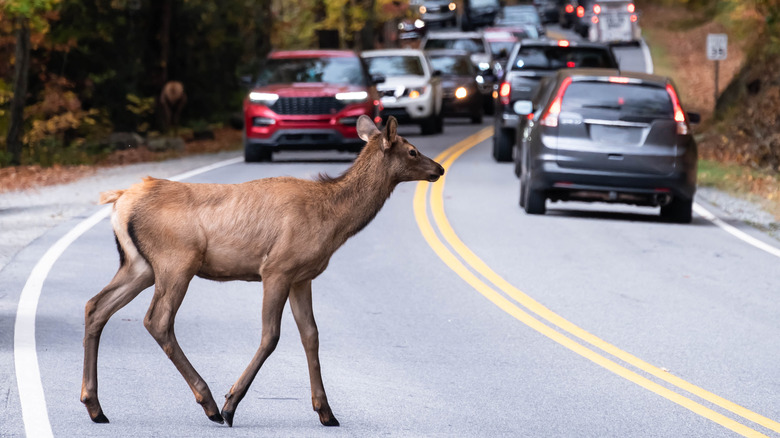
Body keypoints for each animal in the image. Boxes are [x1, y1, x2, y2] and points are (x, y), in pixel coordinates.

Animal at [80, 115, 444, 427]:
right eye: (412, 150)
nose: (439, 168)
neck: (332, 221)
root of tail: (120, 200)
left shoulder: (302, 276)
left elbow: (311, 335)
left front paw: (326, 411)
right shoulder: (277, 268)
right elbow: (271, 336)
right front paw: (232, 403)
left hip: (139, 265)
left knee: (96, 306)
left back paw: (95, 406)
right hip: (176, 260)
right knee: (156, 320)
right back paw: (210, 403)